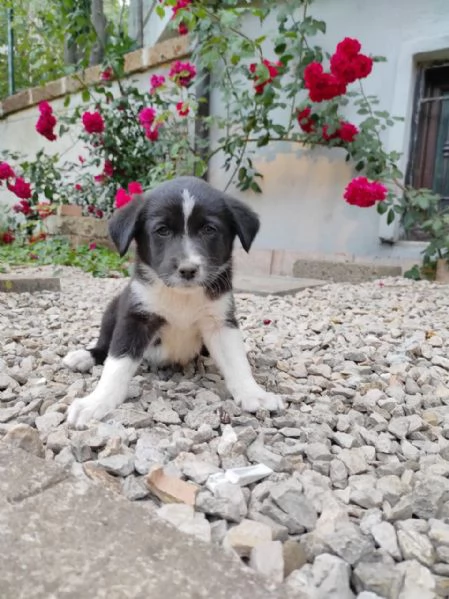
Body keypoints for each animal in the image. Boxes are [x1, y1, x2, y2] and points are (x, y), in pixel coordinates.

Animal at [63, 176, 284, 428]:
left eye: (209, 229)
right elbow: (117, 363)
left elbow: (236, 361)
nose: (188, 270)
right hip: (112, 310)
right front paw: (96, 402)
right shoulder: (136, 317)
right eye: (162, 231)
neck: (182, 296)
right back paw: (83, 356)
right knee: (104, 345)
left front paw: (254, 394)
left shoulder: (220, 321)